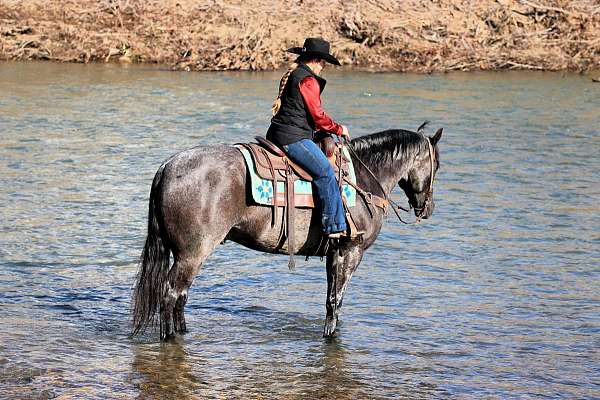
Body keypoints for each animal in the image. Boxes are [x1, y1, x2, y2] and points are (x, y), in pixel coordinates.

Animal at [131, 126, 440, 340]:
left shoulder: (334, 254)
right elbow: (335, 301)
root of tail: (167, 167)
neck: (364, 179)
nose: (428, 208)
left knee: (180, 297)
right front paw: (330, 338)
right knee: (170, 294)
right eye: (437, 164)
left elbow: (331, 300)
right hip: (191, 254)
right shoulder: (350, 251)